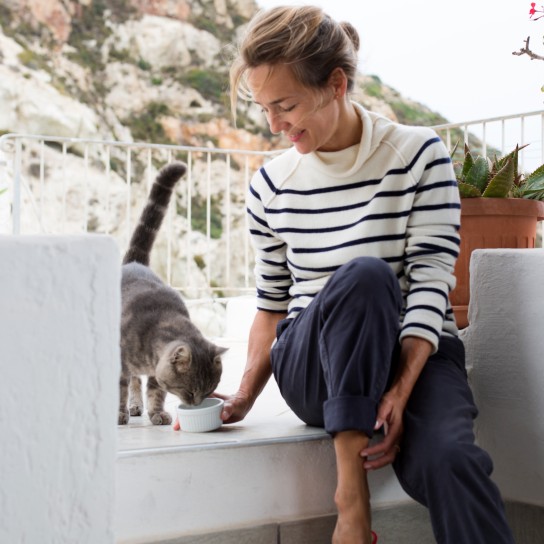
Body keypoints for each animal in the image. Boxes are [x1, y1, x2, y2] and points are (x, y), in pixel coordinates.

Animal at [120, 162, 226, 424]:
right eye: (190, 391)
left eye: (209, 390)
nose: (196, 404)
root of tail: (134, 262)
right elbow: (120, 388)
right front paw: (119, 413)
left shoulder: (156, 372)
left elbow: (155, 391)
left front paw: (157, 413)